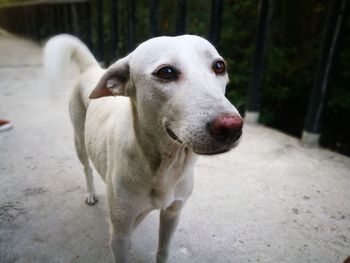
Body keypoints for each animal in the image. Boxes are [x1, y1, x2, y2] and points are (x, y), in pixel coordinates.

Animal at [43, 35, 243, 263]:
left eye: (219, 66)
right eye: (166, 72)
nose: (231, 127)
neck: (165, 166)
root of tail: (92, 69)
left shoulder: (172, 213)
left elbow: (162, 251)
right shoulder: (119, 234)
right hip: (79, 141)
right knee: (86, 168)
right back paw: (91, 193)